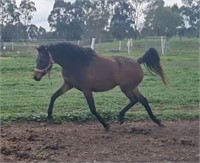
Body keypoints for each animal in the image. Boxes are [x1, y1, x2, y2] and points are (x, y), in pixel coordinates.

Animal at [33, 41, 167, 130]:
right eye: (37, 60)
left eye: (41, 60)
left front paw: (106, 125)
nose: (35, 77)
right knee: (143, 100)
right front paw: (49, 116)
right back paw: (157, 121)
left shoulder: (86, 90)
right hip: (133, 88)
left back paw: (121, 117)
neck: (77, 63)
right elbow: (54, 96)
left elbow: (92, 108)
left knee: (134, 100)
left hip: (126, 88)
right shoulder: (68, 85)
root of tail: (137, 61)